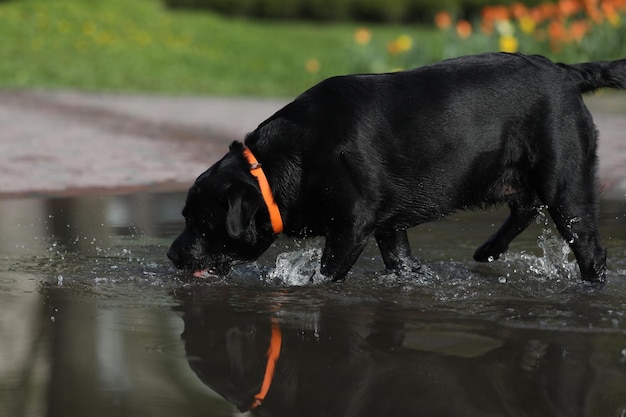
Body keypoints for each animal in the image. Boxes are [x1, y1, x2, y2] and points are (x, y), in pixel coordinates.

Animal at [167, 50, 624, 282]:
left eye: (200, 221)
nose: (172, 254)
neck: (288, 163)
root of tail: (565, 72)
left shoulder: (351, 227)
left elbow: (325, 275)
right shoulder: (388, 226)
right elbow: (401, 260)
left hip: (566, 182)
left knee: (589, 247)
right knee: (525, 206)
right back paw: (488, 249)